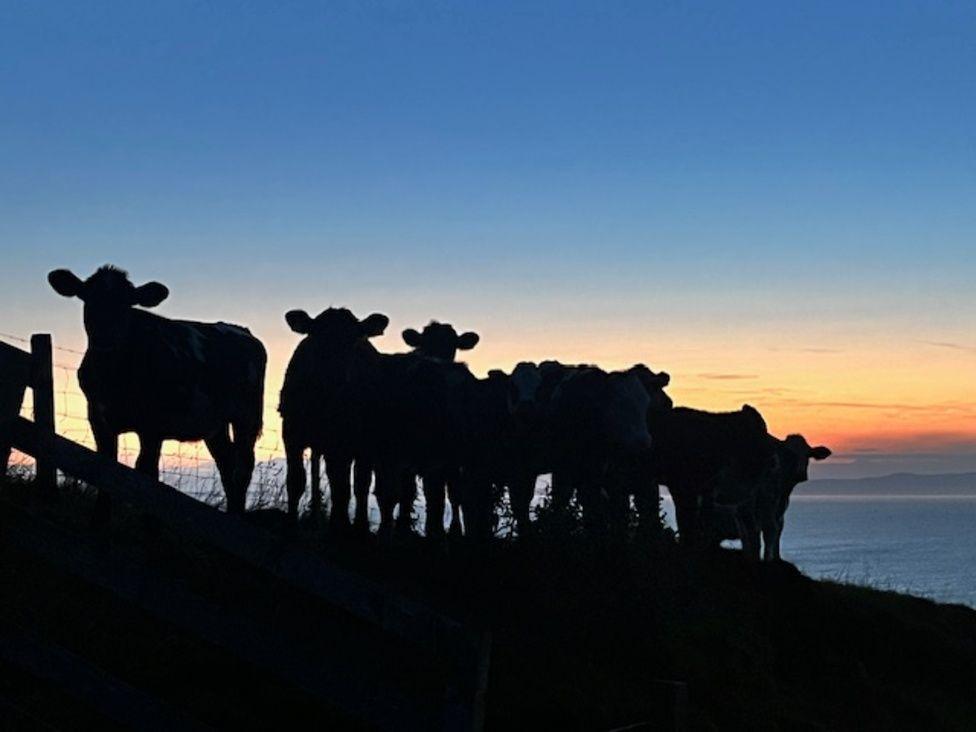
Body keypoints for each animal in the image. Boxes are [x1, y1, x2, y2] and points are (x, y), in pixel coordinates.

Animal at [47, 266, 264, 512]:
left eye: (127, 303)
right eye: (88, 298)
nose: (106, 336)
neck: (113, 375)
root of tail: (241, 330)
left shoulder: (151, 426)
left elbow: (146, 472)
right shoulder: (98, 418)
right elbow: (107, 468)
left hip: (246, 417)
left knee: (243, 468)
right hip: (215, 425)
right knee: (227, 464)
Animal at [276, 308, 386, 528]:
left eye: (354, 341)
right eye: (316, 337)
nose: (334, 377)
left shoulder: (344, 442)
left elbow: (344, 486)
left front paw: (342, 524)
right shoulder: (291, 433)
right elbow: (295, 480)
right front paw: (291, 522)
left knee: (362, 485)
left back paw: (357, 525)